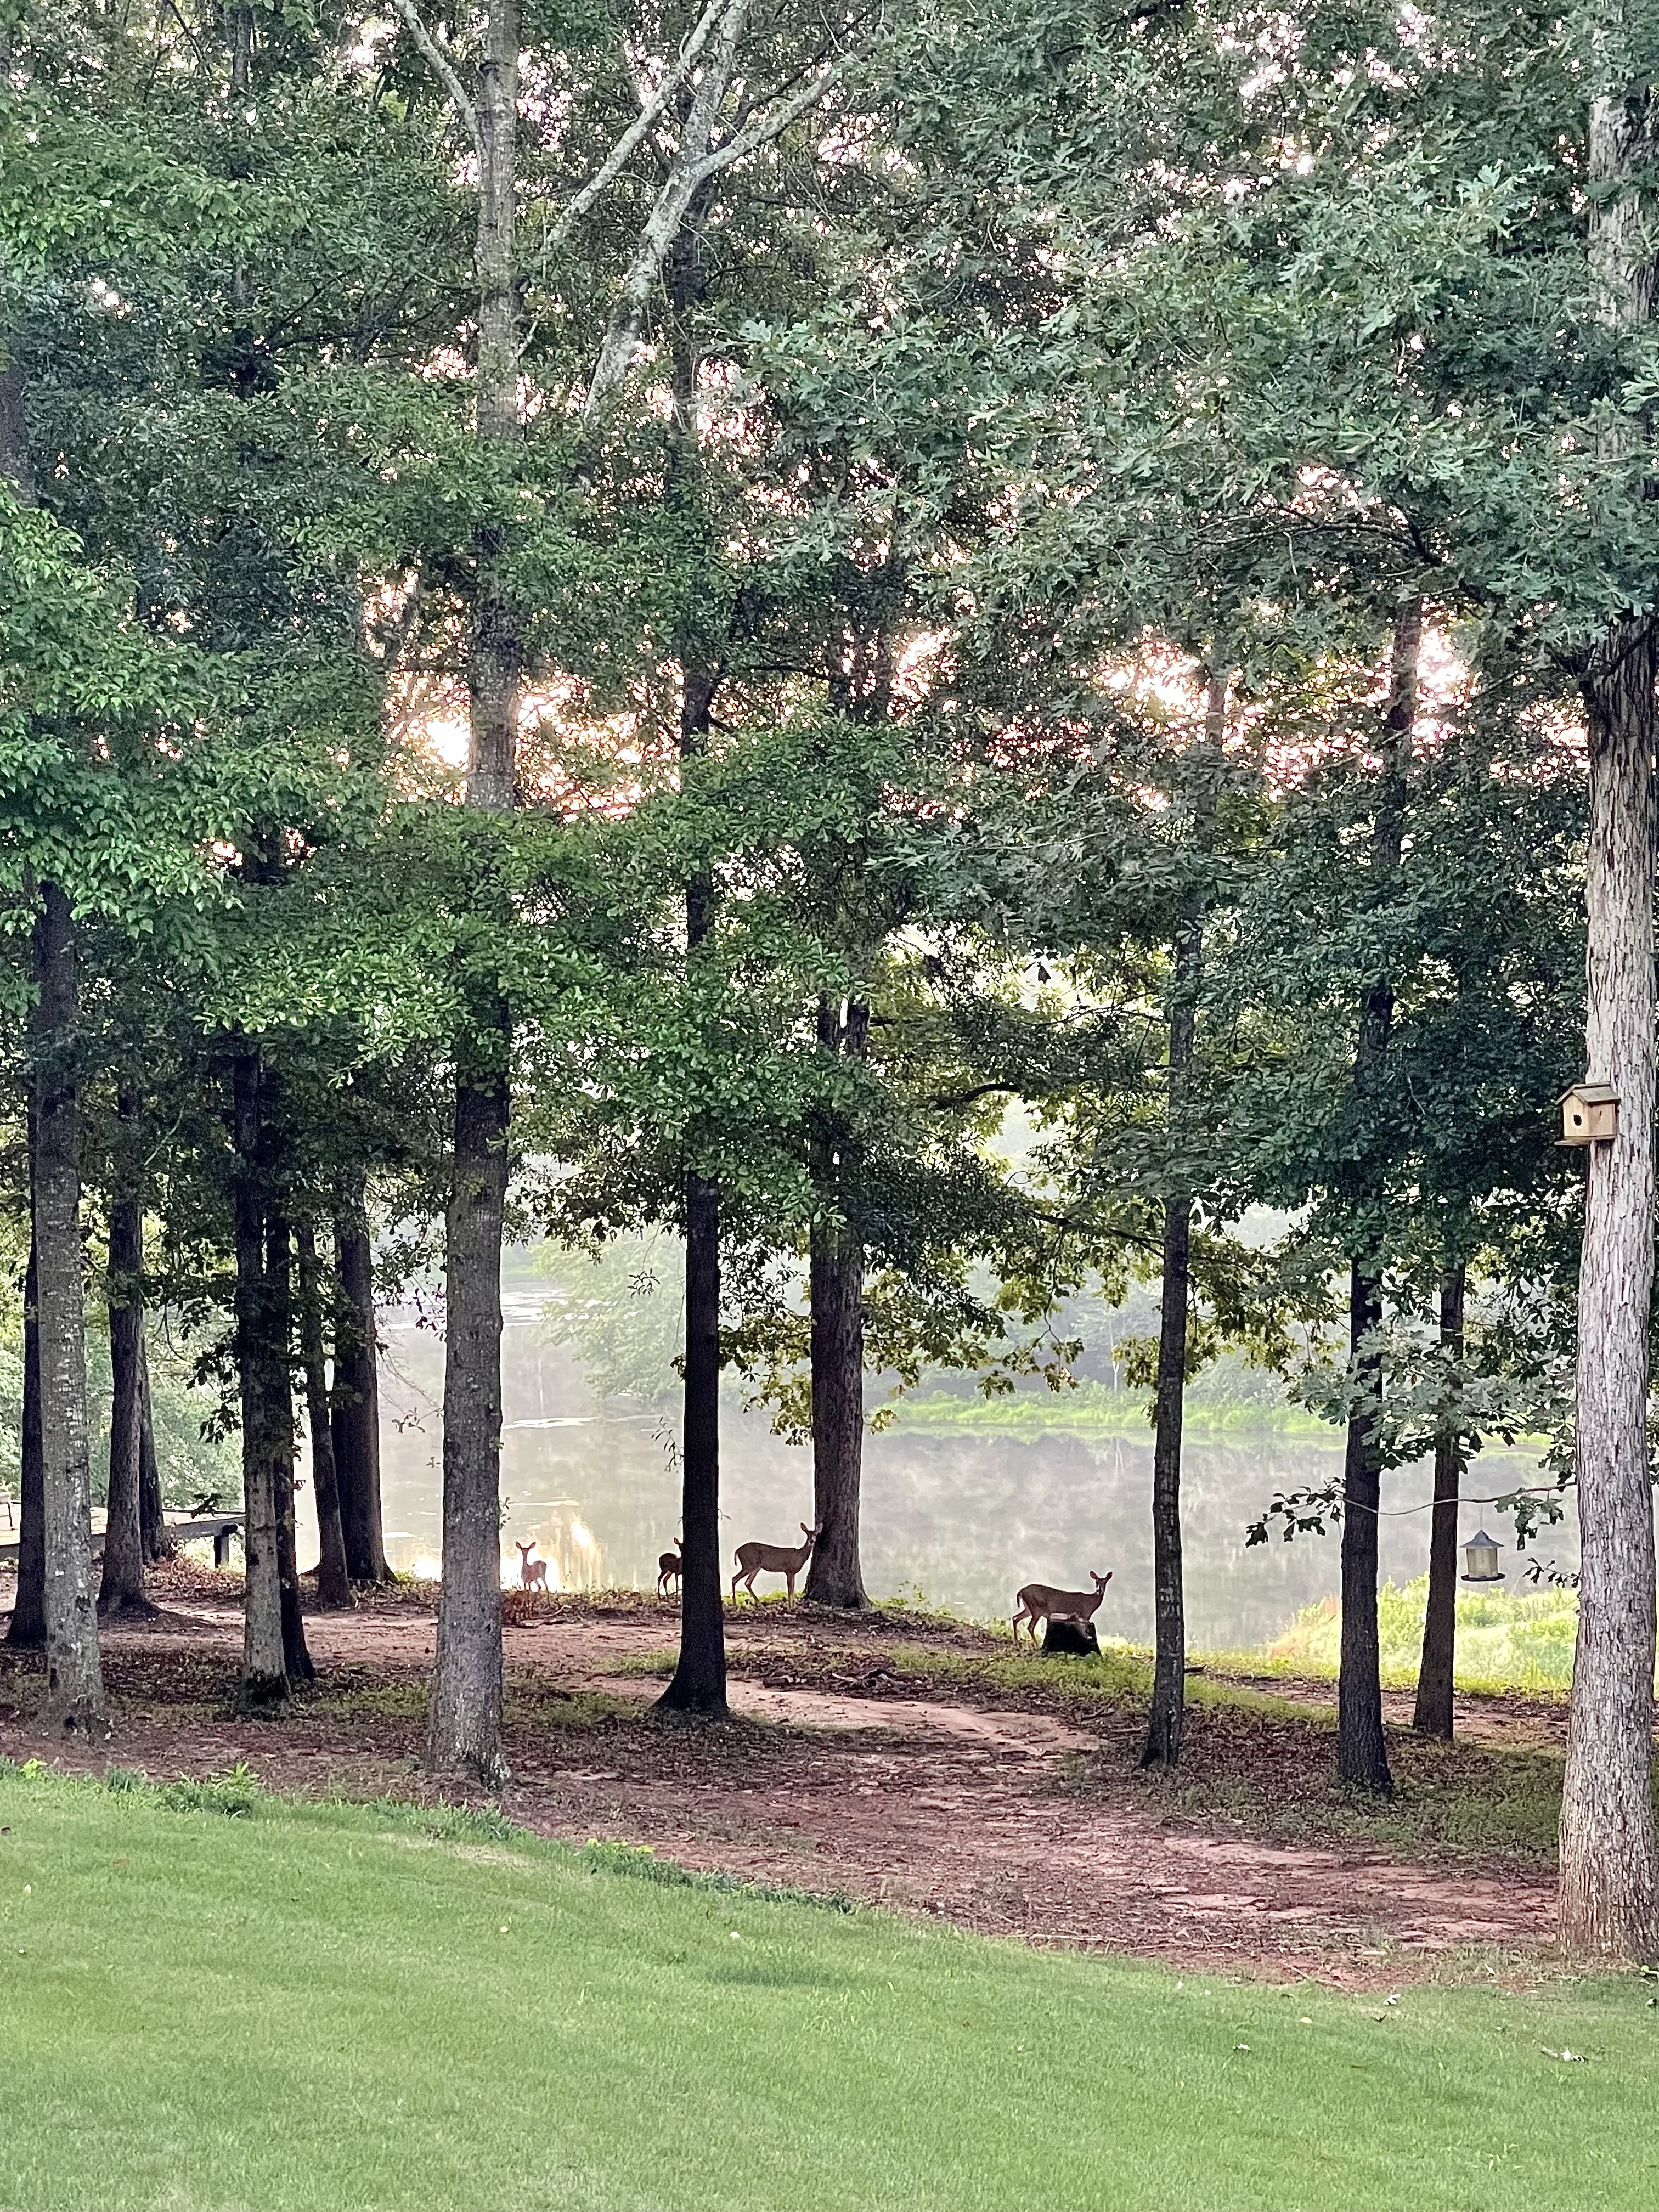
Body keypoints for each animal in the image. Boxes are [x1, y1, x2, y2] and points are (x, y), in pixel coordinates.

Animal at [734, 1522, 827, 1610]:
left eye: (816, 1534)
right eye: (807, 1534)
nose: (812, 1541)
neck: (799, 1557)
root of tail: (737, 1551)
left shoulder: (793, 1573)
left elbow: (793, 1589)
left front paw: (793, 1607)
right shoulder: (789, 1570)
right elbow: (790, 1590)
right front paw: (789, 1608)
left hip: (755, 1568)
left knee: (747, 1583)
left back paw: (761, 1606)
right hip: (748, 1565)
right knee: (735, 1579)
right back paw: (736, 1604)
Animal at [1013, 1575, 1119, 1645]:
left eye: (1105, 1582)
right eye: (1096, 1582)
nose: (1099, 1590)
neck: (1091, 1604)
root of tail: (1021, 1591)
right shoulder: (1084, 1615)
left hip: (1028, 1609)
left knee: (1015, 1618)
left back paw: (1016, 1641)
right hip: (1036, 1608)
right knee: (1030, 1627)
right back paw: (1037, 1644)